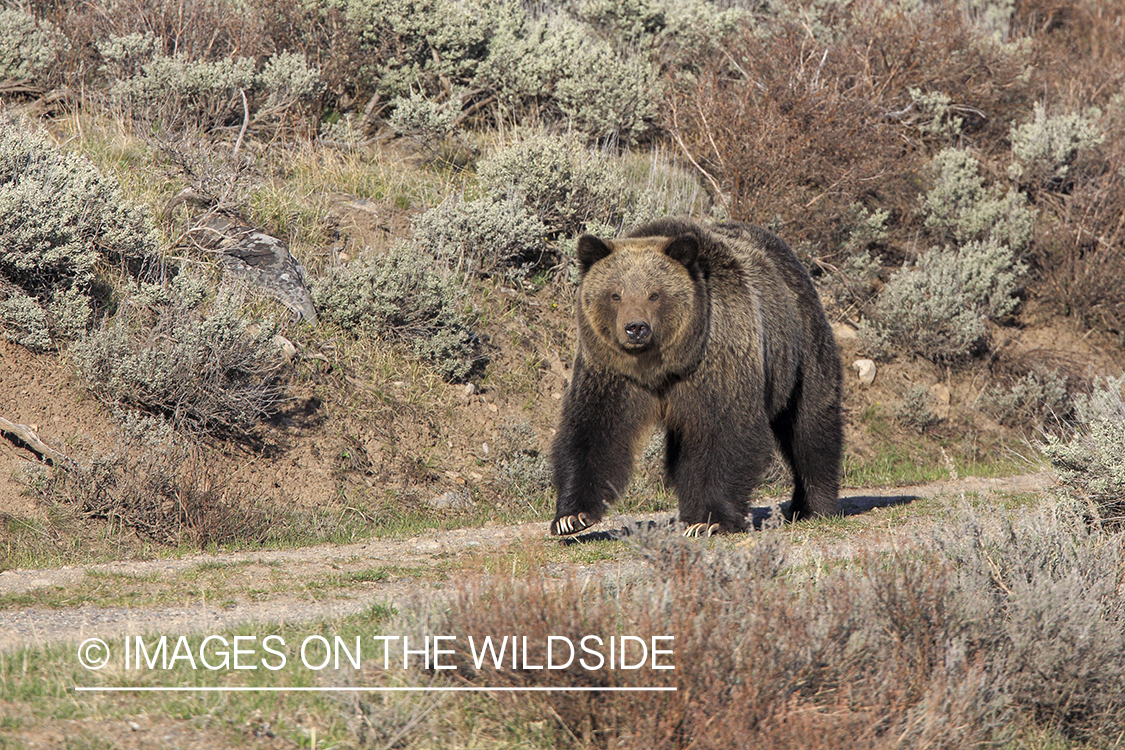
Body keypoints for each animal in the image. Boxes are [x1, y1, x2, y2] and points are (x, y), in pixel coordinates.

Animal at [549, 220, 841, 537]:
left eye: (654, 294)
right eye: (615, 294)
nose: (636, 328)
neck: (661, 367)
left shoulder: (718, 361)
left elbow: (727, 433)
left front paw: (712, 520)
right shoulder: (611, 371)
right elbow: (594, 430)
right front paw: (571, 516)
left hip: (799, 345)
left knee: (810, 424)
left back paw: (813, 505)